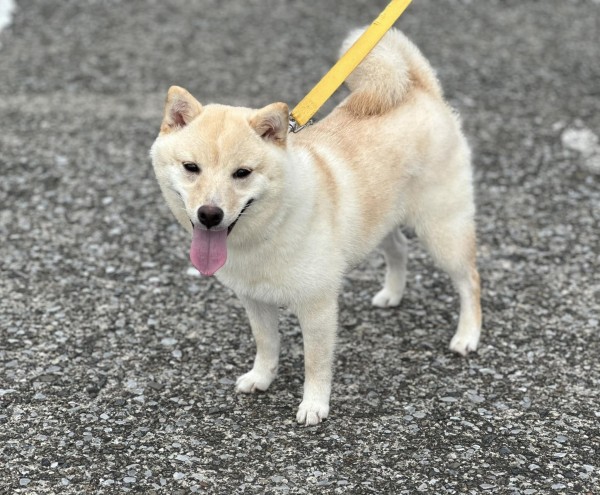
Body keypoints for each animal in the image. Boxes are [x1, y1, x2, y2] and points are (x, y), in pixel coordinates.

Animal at [150, 29, 482, 426]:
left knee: (469, 280)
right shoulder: (254, 299)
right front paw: (261, 378)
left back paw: (467, 335)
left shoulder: (318, 305)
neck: (267, 231)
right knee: (399, 249)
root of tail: (420, 89)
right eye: (191, 167)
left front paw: (314, 405)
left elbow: (316, 363)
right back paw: (392, 294)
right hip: (379, 222)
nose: (210, 214)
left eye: (242, 173)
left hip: (442, 230)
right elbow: (266, 345)